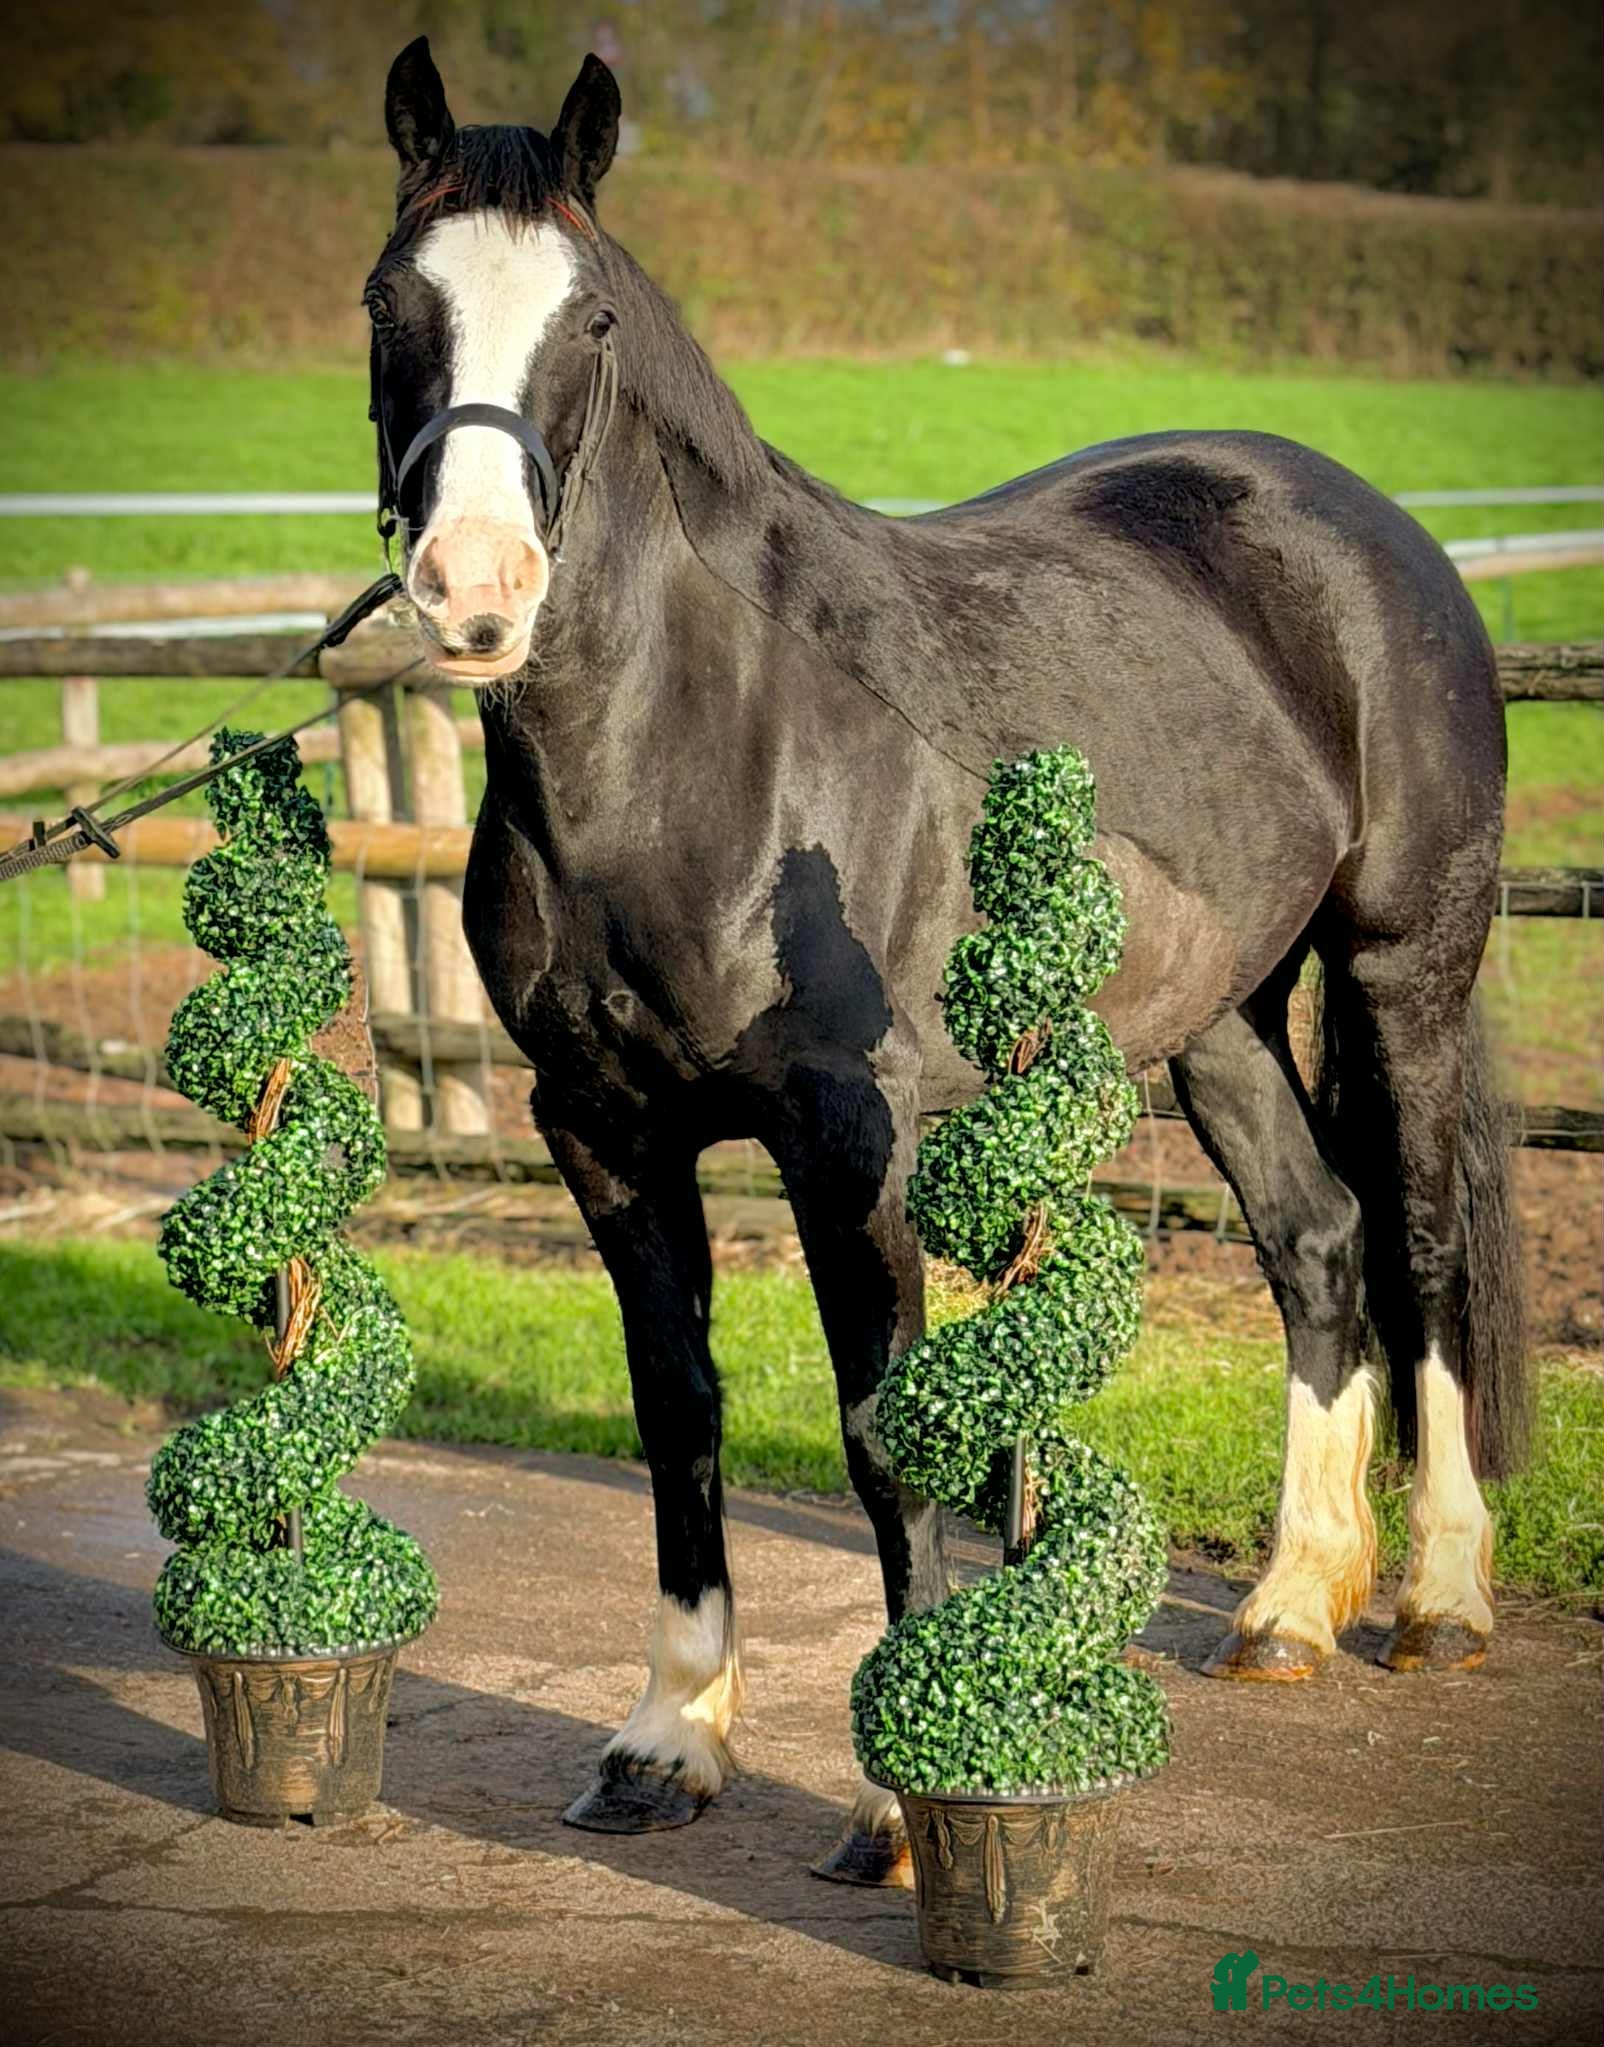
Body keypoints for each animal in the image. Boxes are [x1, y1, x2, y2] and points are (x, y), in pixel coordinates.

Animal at [366, 39, 1525, 1881]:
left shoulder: (856, 1138)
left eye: (591, 319)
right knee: (1316, 1236)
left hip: (1401, 968)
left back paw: (1438, 1596)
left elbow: (878, 1426)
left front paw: (895, 1802)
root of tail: (1358, 524)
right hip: (1210, 1018)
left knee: (1415, 1244)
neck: (704, 751)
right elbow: (675, 1408)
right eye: (386, 298)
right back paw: (1284, 1606)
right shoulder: (602, 1134)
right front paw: (665, 1739)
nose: (474, 587)